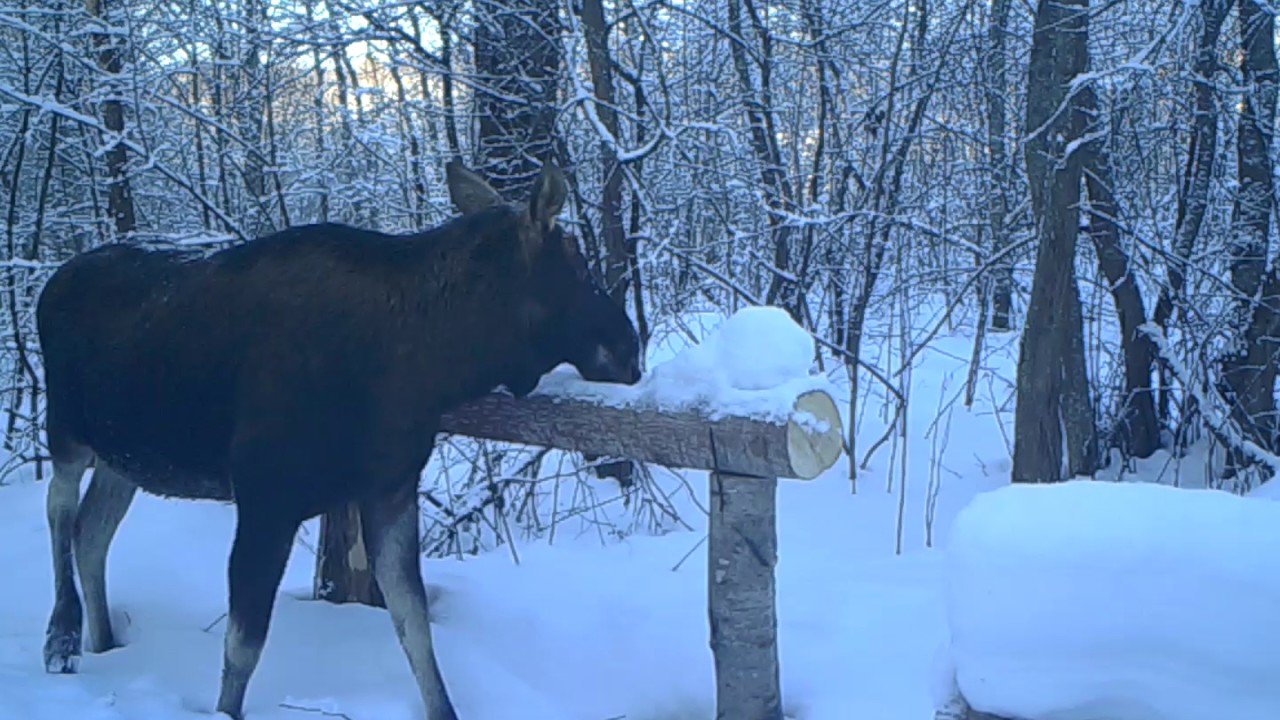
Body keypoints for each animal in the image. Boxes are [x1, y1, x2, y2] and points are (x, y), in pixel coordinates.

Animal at [36, 158, 645, 717]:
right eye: (579, 267)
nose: (630, 347)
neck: (431, 365)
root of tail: (51, 280)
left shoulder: (390, 489)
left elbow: (413, 621)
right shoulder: (266, 498)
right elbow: (243, 647)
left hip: (123, 454)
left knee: (92, 531)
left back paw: (104, 641)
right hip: (65, 427)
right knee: (60, 508)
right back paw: (62, 636)